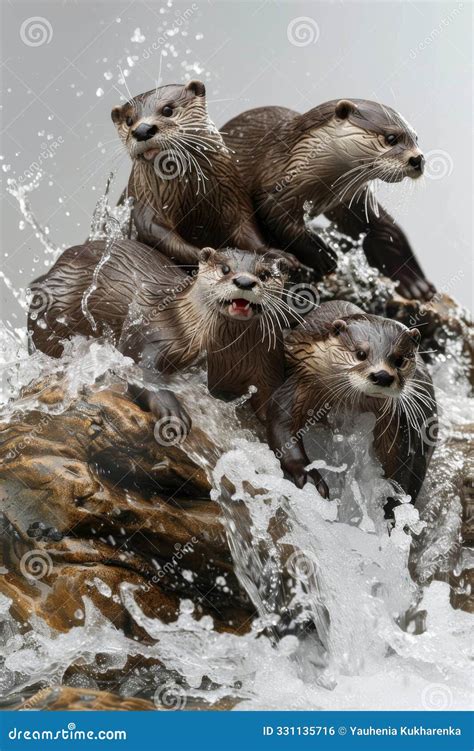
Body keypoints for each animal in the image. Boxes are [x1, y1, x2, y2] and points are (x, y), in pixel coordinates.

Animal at [28, 239, 295, 425]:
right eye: (225, 269)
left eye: (264, 275)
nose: (245, 282)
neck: (223, 355)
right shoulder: (155, 332)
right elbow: (139, 368)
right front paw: (173, 412)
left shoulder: (268, 361)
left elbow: (275, 410)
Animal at [112, 80, 299, 269]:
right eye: (129, 120)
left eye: (167, 110)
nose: (142, 130)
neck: (193, 194)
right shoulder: (146, 204)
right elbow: (159, 235)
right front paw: (215, 257)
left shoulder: (233, 193)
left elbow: (246, 229)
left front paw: (276, 254)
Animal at [222, 99, 435, 299]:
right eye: (391, 138)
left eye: (415, 138)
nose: (418, 159)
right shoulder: (275, 186)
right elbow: (280, 219)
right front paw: (322, 255)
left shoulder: (348, 197)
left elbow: (383, 229)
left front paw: (414, 281)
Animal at [267, 301, 437, 510]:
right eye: (361, 353)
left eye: (399, 360)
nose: (383, 376)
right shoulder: (302, 379)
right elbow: (283, 423)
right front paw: (309, 477)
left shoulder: (397, 424)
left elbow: (402, 468)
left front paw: (393, 508)